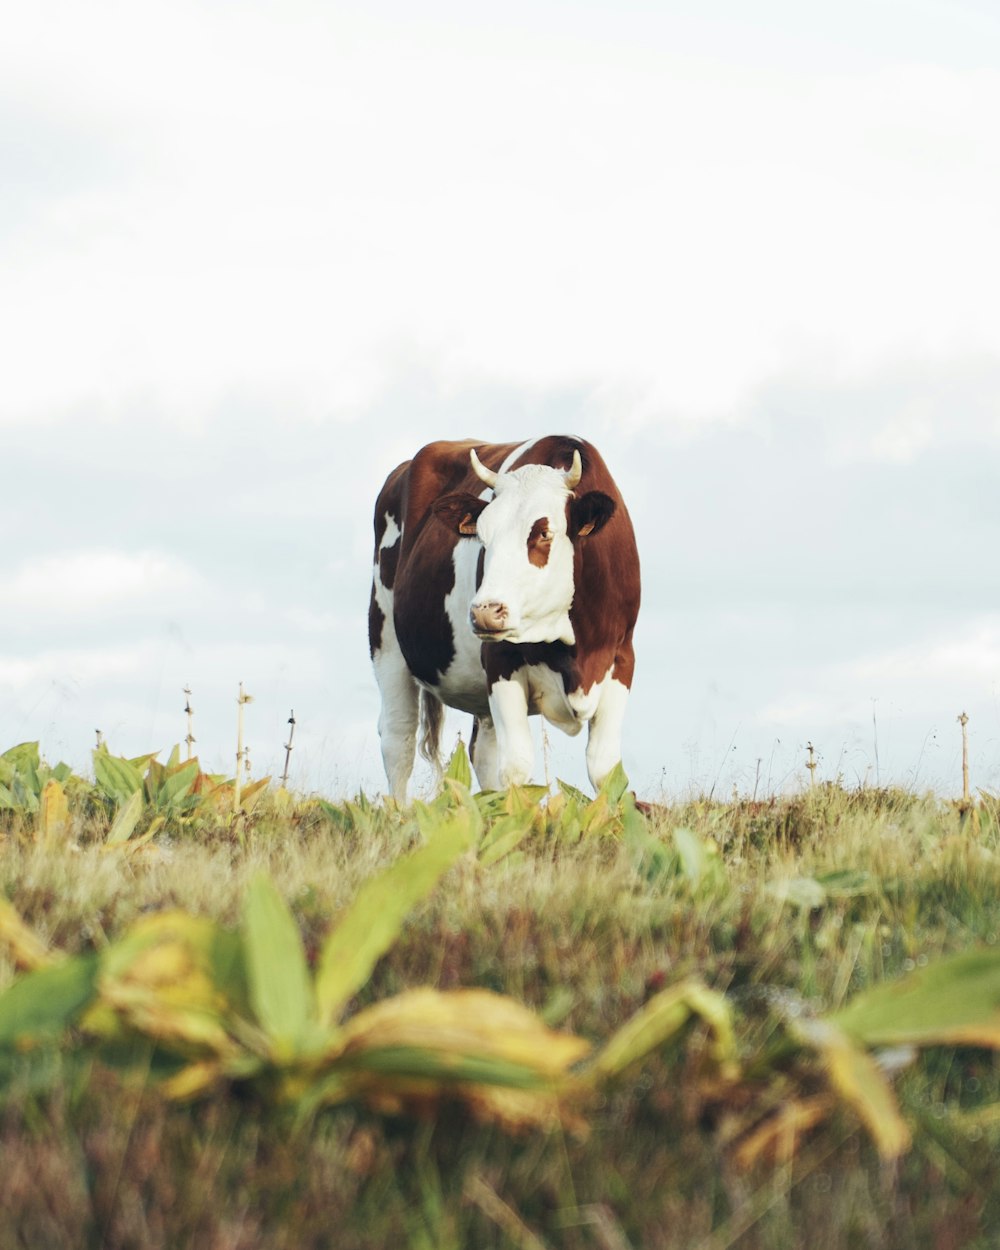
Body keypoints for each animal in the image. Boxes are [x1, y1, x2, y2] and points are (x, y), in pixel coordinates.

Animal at [367, 435, 640, 795]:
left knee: (481, 749)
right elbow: (516, 766)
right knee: (398, 739)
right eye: (482, 538)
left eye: (543, 533)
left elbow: (605, 768)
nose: (485, 612)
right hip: (386, 639)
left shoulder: (622, 657)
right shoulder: (500, 659)